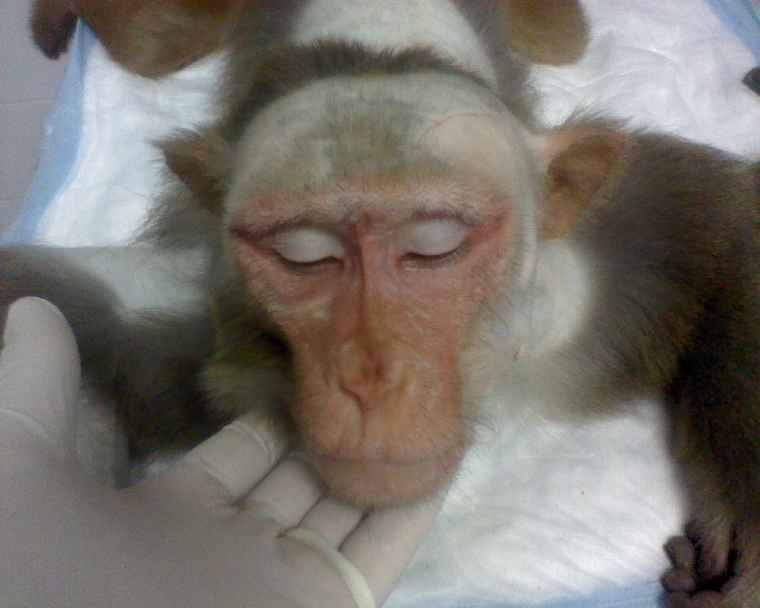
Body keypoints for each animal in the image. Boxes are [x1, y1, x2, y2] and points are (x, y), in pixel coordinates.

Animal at [4, 2, 759, 606]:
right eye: (304, 256)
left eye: (434, 247)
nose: (369, 376)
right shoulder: (216, 304)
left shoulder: (565, 292)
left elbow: (727, 224)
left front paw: (743, 555)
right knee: (154, 43)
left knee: (563, 38)